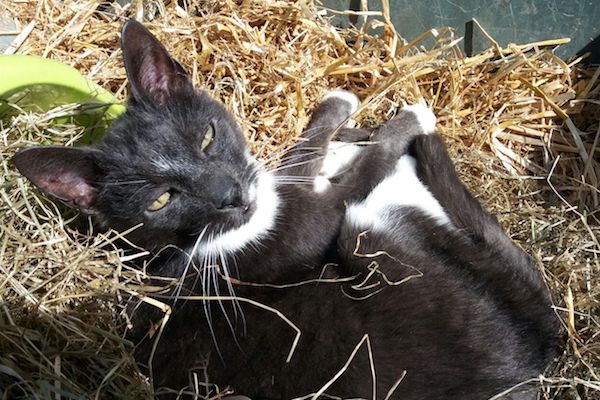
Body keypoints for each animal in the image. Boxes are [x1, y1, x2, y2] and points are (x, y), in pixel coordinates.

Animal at [12, 19, 556, 400]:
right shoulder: (305, 224)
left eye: (207, 137)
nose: (230, 195)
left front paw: (333, 115)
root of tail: (529, 364)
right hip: (370, 230)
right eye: (162, 199)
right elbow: (354, 172)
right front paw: (398, 122)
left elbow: (298, 155)